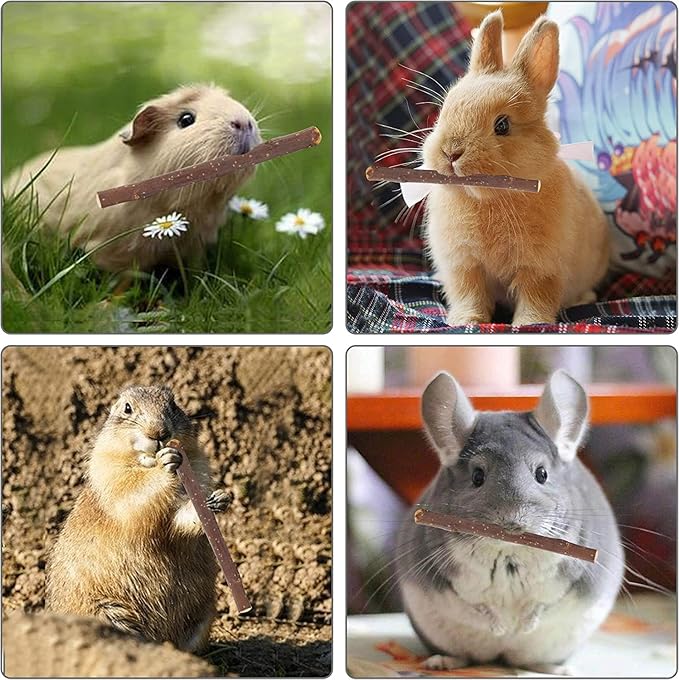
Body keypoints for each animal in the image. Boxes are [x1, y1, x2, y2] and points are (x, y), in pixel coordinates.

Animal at [45, 386, 233, 653]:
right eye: (127, 408)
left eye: (173, 405)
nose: (160, 433)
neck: (146, 461)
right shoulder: (110, 473)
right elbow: (135, 496)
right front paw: (167, 462)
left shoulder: (198, 467)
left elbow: (179, 520)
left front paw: (219, 499)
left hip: (205, 613)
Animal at [397, 370, 624, 674]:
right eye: (477, 476)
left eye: (542, 474)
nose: (512, 520)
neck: (510, 553)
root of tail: (502, 658)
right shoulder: (443, 578)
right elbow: (474, 606)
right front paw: (501, 627)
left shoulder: (575, 576)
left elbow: (545, 604)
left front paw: (523, 626)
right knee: (465, 657)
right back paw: (442, 662)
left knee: (533, 662)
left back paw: (559, 669)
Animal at [421, 11, 610, 326]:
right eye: (445, 109)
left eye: (502, 125)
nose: (450, 152)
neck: (490, 198)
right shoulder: (465, 265)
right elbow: (468, 294)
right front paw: (466, 321)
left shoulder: (542, 267)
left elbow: (537, 296)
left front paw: (530, 323)